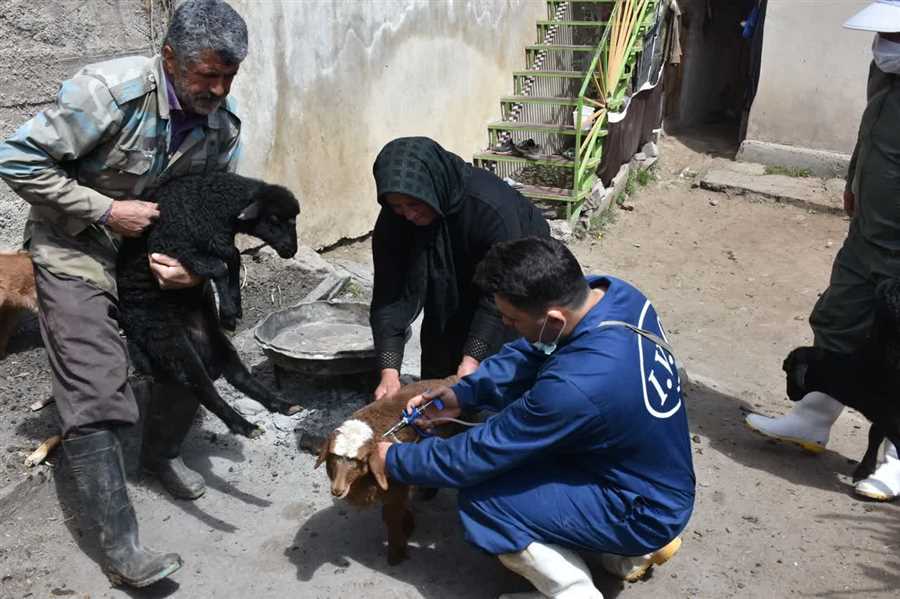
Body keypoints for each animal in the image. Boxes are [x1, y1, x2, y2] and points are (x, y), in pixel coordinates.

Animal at [118, 171, 300, 438]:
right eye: (274, 219)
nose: (291, 250)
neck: (213, 203)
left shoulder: (217, 241)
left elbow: (233, 257)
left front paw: (234, 307)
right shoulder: (176, 247)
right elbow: (221, 266)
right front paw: (228, 310)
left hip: (214, 336)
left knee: (238, 375)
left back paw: (282, 404)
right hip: (170, 342)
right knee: (205, 390)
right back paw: (245, 426)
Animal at [314, 378, 458, 564]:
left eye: (361, 461)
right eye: (332, 456)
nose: (337, 490)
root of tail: (450, 379)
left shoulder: (397, 489)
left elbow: (392, 518)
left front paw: (396, 553)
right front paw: (408, 526)